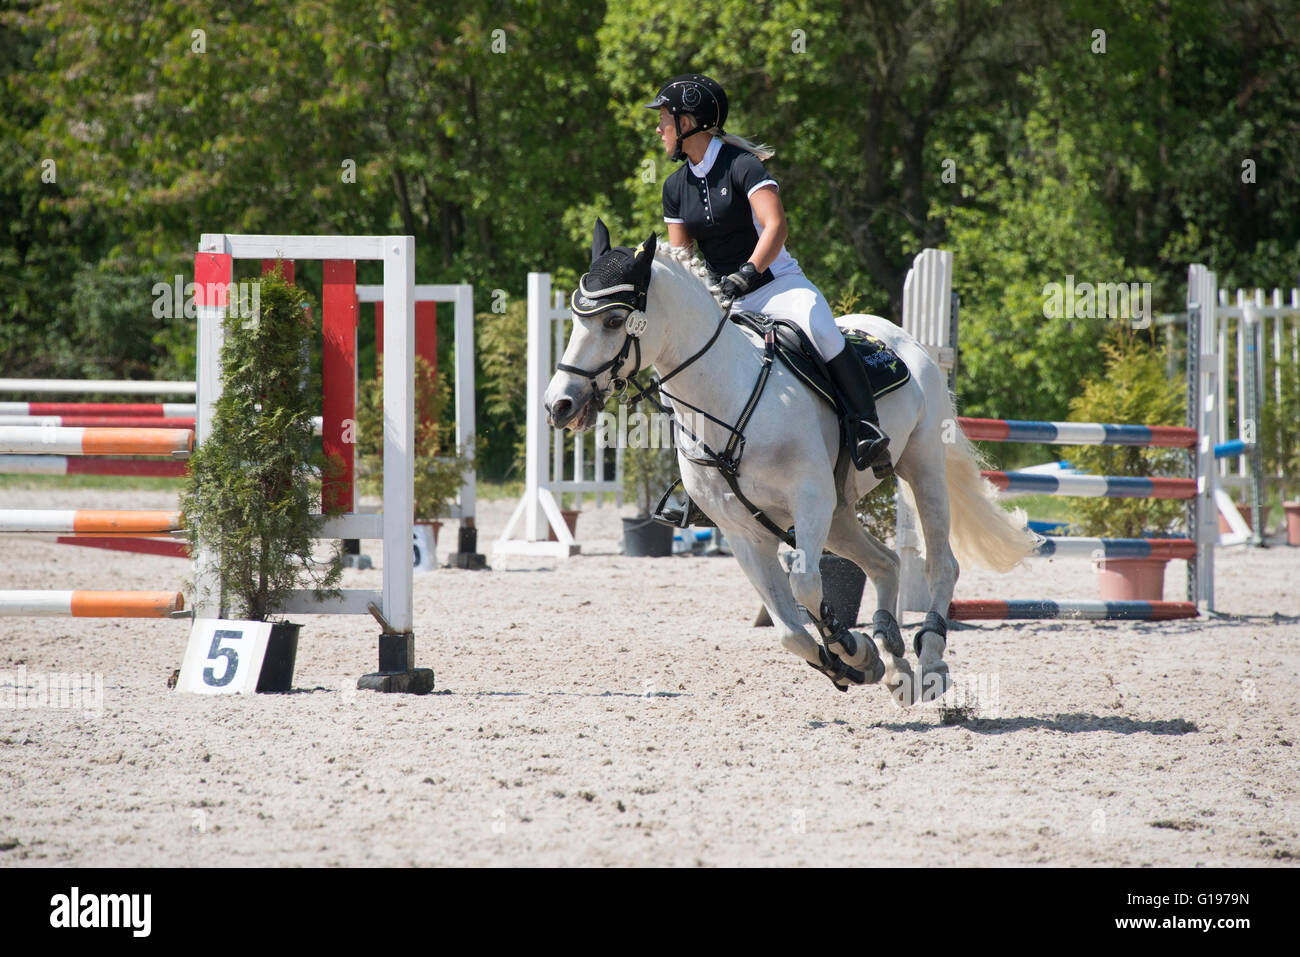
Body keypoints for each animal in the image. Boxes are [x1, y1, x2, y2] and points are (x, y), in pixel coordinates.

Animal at [543, 222, 1029, 702]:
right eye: (575, 320)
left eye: (613, 320)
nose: (559, 405)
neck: (725, 397)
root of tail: (901, 336)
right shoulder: (743, 531)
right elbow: (789, 631)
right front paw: (856, 661)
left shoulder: (809, 500)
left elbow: (806, 585)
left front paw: (849, 646)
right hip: (840, 513)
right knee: (885, 562)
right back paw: (892, 657)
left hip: (920, 464)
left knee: (941, 564)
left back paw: (930, 661)